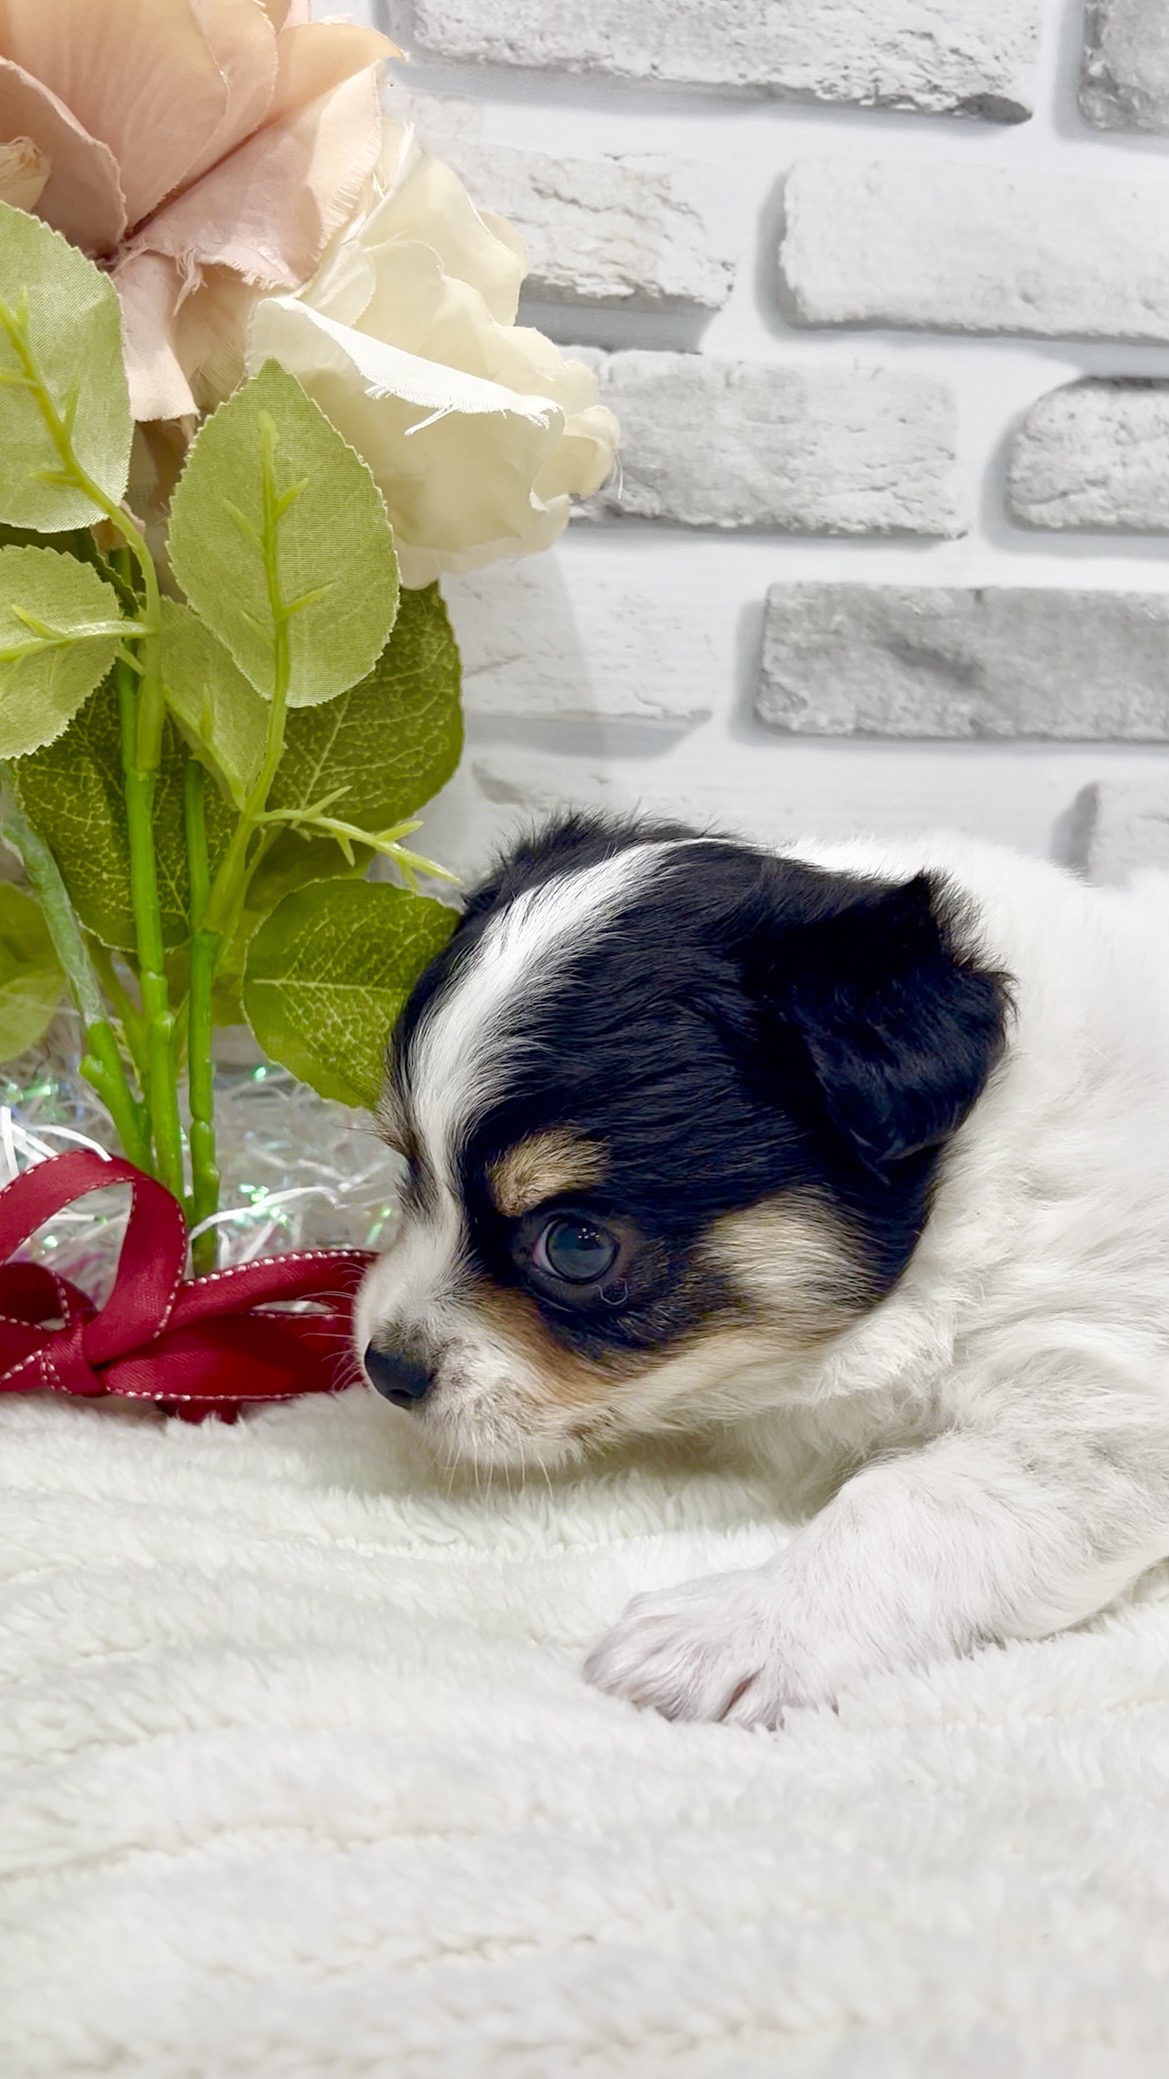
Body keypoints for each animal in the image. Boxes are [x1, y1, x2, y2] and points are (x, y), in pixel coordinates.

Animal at [355, 814, 1169, 1728]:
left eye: (575, 1246)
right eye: (408, 1165)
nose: (386, 1368)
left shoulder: (1102, 1406)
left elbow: (909, 1501)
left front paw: (734, 1628)